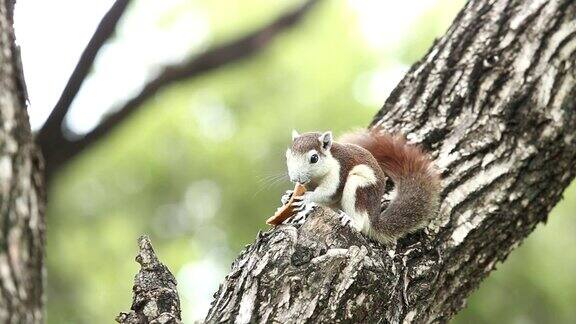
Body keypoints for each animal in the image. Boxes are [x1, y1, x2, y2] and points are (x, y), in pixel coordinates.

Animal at [286, 128, 440, 244]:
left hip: (358, 188)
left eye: (314, 158)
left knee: (360, 223)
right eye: (288, 156)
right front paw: (288, 196)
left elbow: (329, 193)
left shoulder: (338, 171)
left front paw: (306, 197)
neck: (316, 178)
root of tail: (373, 217)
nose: (295, 178)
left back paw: (351, 220)